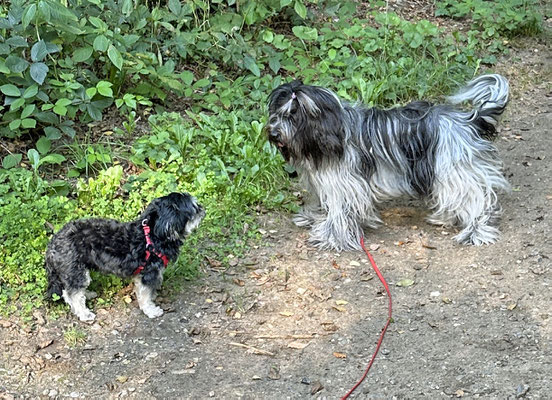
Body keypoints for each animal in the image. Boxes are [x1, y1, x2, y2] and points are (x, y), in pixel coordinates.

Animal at [45, 192, 205, 320]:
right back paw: (84, 313)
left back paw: (88, 294)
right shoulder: (148, 273)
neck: (154, 235)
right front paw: (151, 310)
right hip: (75, 270)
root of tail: (52, 243)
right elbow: (145, 296)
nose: (203, 209)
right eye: (195, 208)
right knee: (72, 294)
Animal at [266, 75, 508, 250]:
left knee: (476, 199)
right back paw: (445, 217)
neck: (332, 131)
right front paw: (313, 217)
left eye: (294, 115)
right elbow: (325, 204)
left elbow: (339, 212)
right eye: (277, 113)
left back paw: (476, 230)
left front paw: (331, 237)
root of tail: (467, 121)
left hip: (454, 170)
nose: (274, 133)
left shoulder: (345, 184)